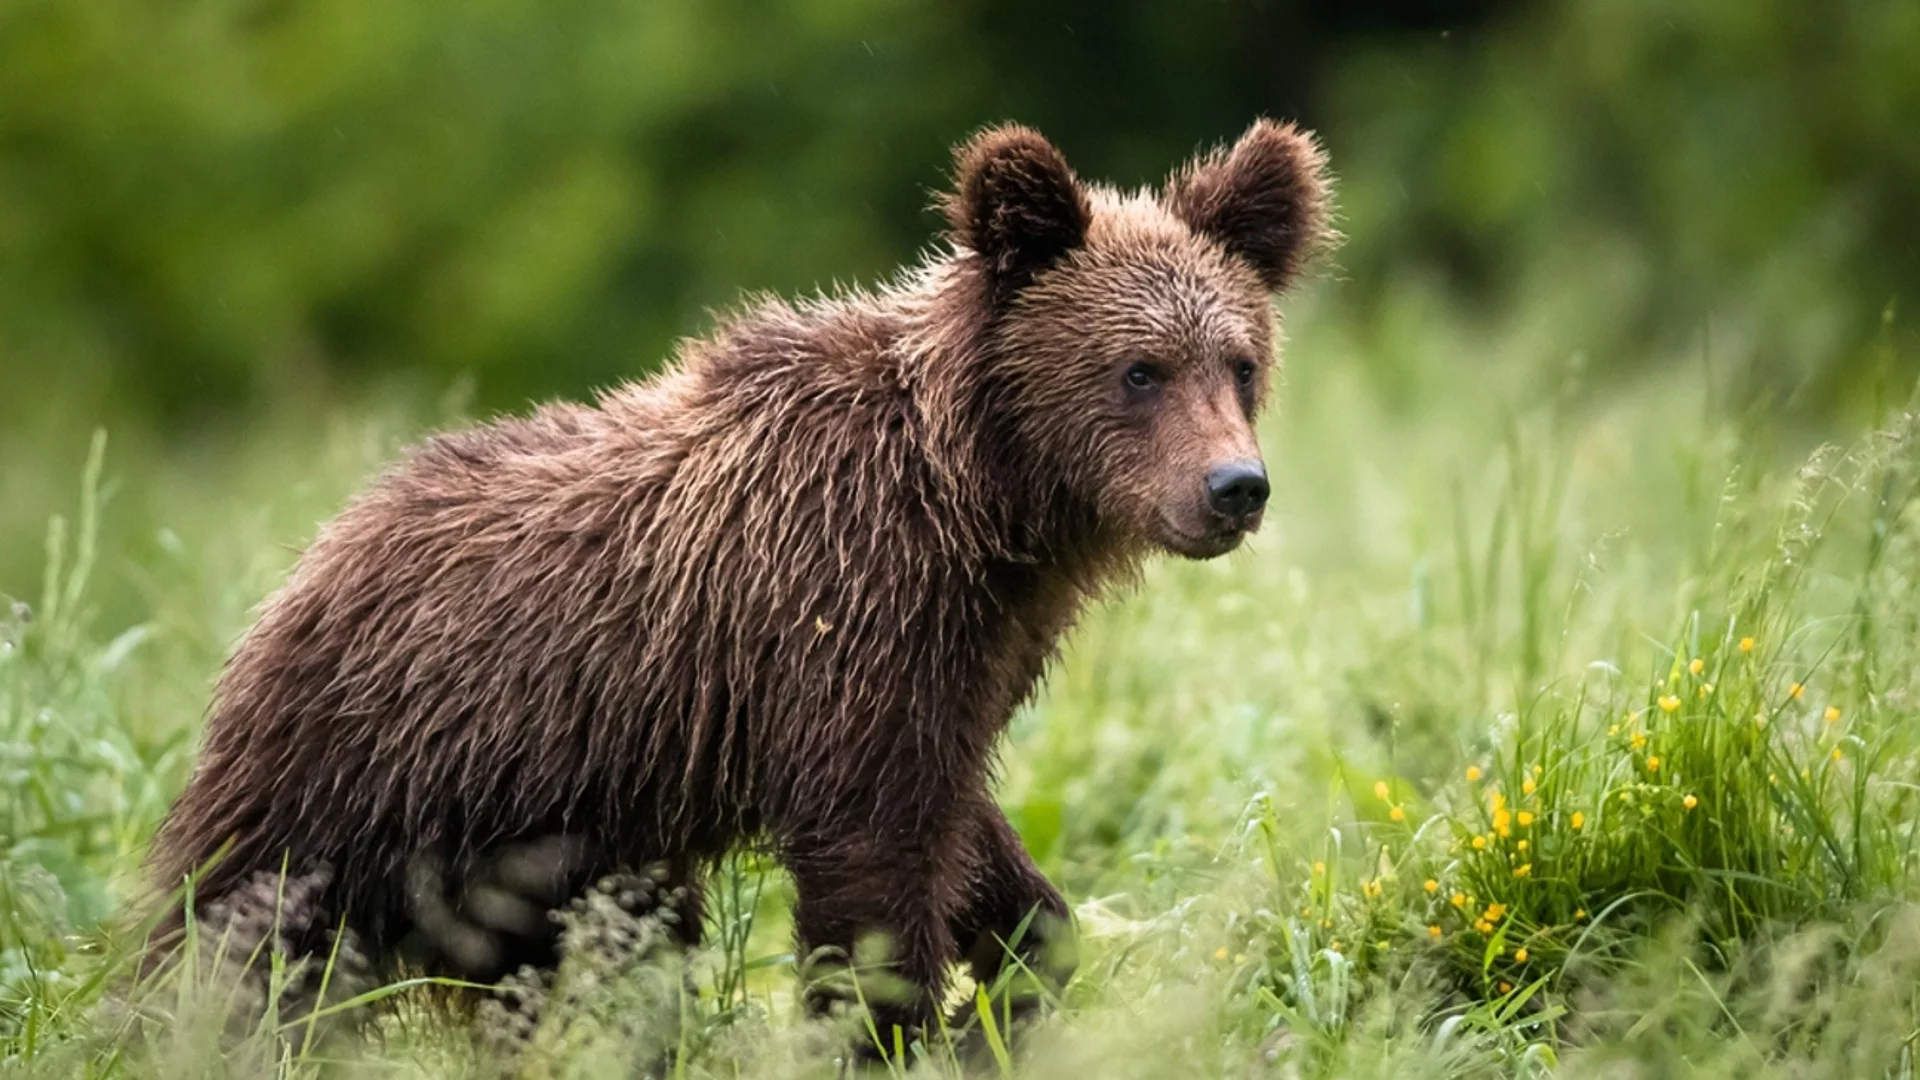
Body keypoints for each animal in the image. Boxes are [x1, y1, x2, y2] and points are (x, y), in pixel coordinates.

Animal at [145, 115, 1336, 1045]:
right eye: (1139, 370)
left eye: (1240, 361)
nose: (1236, 487)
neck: (979, 504)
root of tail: (309, 558)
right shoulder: (842, 619)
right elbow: (871, 874)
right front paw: (890, 1027)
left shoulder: (961, 661)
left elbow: (967, 835)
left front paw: (1011, 982)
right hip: (366, 770)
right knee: (237, 941)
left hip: (546, 845)